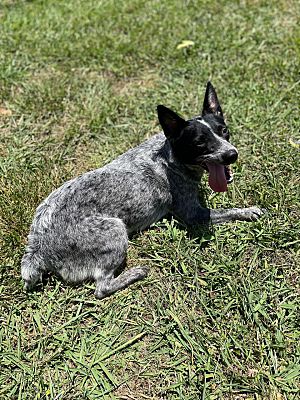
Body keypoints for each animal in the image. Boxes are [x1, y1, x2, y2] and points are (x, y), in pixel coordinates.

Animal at [21, 83, 264, 298]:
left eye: (224, 131)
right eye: (199, 143)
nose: (232, 154)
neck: (170, 157)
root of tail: (38, 246)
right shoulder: (193, 215)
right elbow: (229, 211)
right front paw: (248, 210)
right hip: (115, 230)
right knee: (102, 288)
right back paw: (135, 273)